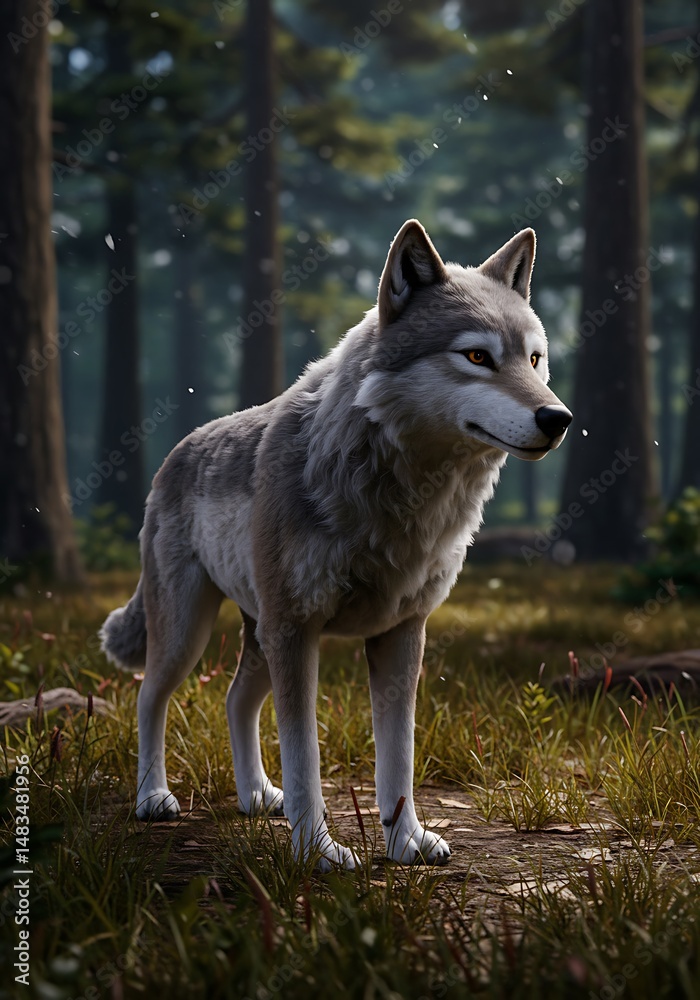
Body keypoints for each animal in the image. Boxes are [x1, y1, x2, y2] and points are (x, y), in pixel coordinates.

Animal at [101, 220, 572, 870]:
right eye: (478, 356)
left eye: (534, 359)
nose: (559, 418)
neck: (402, 498)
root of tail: (179, 448)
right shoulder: (298, 632)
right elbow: (306, 760)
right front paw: (316, 852)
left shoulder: (401, 634)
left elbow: (396, 757)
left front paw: (405, 842)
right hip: (191, 635)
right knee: (149, 698)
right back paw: (153, 798)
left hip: (259, 638)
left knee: (234, 701)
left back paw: (255, 797)